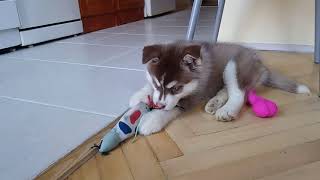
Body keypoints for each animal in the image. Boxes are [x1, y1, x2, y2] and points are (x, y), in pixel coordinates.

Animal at [129, 40, 310, 135]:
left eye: (176, 89)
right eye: (156, 84)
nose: (158, 105)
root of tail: (262, 66)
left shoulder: (195, 94)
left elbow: (173, 107)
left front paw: (153, 119)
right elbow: (148, 88)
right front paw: (140, 95)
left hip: (234, 65)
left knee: (239, 93)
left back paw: (227, 110)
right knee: (227, 90)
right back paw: (214, 103)